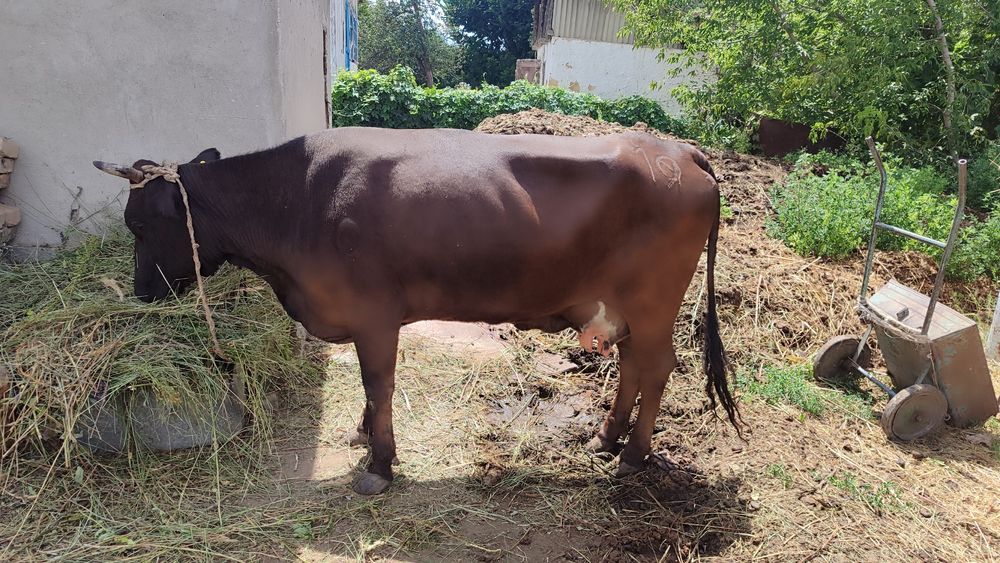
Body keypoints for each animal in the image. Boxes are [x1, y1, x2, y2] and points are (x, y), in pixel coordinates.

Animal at [93, 127, 740, 495]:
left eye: (140, 223)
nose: (143, 293)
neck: (296, 201)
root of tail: (678, 150)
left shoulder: (373, 314)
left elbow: (377, 382)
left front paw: (379, 466)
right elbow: (370, 386)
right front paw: (362, 436)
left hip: (653, 302)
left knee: (656, 367)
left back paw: (631, 456)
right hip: (625, 305)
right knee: (632, 365)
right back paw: (605, 439)